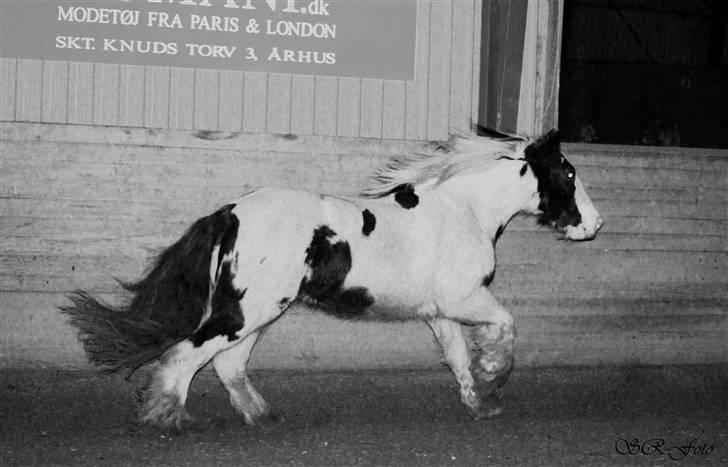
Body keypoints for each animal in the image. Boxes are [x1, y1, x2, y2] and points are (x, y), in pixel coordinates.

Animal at [62, 130, 604, 430]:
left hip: (259, 311)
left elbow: (457, 359)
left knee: (228, 363)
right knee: (188, 353)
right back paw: (166, 416)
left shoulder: (440, 312)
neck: (462, 209)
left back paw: (263, 416)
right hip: (247, 311)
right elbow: (504, 326)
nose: (594, 225)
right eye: (568, 173)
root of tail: (231, 212)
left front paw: (481, 403)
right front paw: (496, 374)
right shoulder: (466, 298)